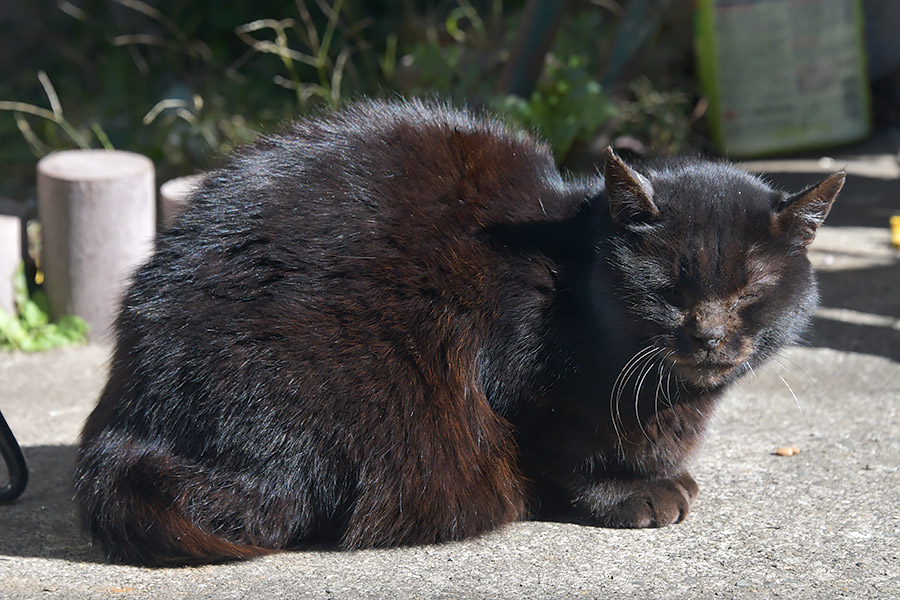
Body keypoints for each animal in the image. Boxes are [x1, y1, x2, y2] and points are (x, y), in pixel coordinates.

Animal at [72, 98, 844, 564]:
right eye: (670, 291)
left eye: (748, 294)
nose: (709, 336)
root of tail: (128, 419)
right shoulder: (527, 385)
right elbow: (571, 453)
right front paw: (631, 493)